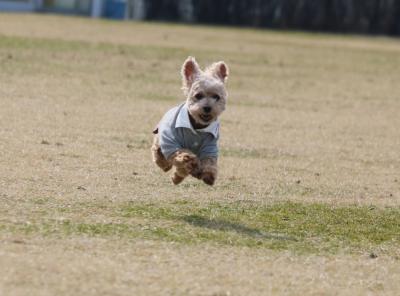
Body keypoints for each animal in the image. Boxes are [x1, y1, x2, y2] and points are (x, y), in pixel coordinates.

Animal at [152, 56, 230, 185]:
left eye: (216, 97)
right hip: (160, 141)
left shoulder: (210, 146)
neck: (198, 126)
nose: (207, 108)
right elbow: (180, 154)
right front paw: (187, 158)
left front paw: (209, 174)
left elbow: (210, 161)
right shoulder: (171, 142)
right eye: (198, 95)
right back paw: (169, 167)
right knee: (159, 154)